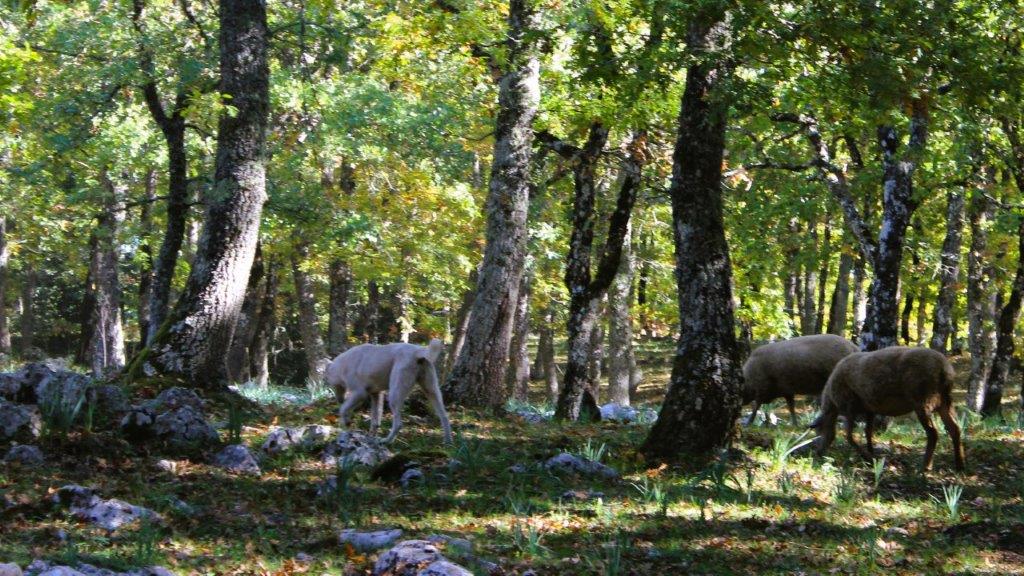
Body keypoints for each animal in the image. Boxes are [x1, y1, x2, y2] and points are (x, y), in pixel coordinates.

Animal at [809, 346, 965, 471]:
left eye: (819, 430)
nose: (817, 453)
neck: (831, 403)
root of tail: (945, 369)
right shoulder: (869, 409)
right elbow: (868, 432)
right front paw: (871, 453)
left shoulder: (849, 407)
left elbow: (849, 436)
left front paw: (868, 457)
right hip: (944, 400)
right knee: (955, 429)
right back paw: (959, 465)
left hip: (923, 401)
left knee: (933, 433)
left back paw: (926, 466)